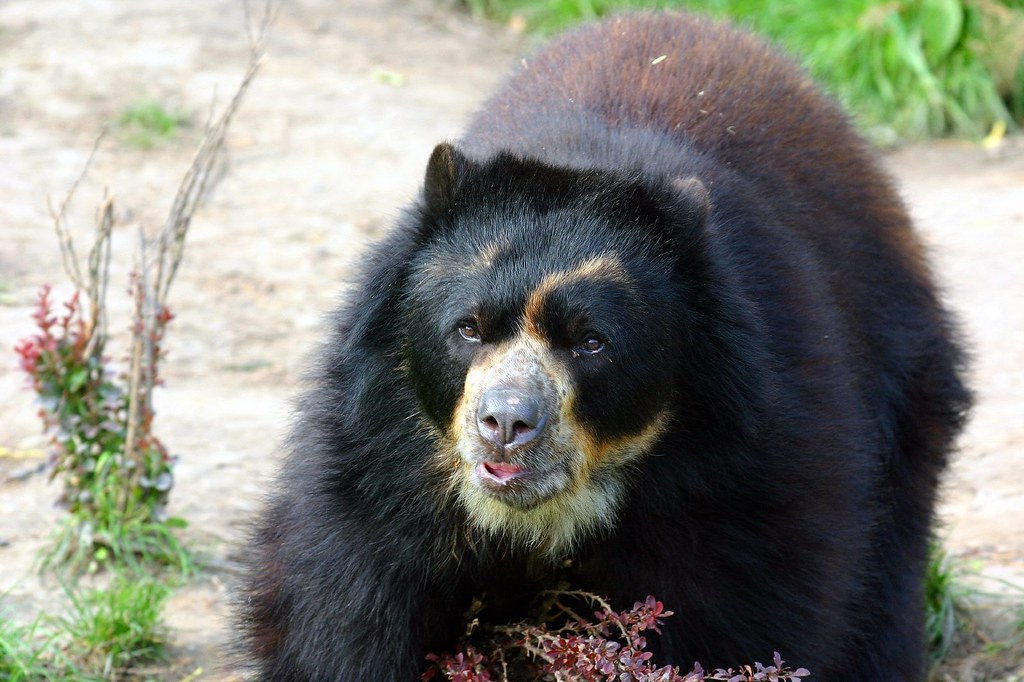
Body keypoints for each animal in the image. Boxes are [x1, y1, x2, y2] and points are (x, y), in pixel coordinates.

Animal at [237, 11, 966, 679]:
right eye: (467, 328)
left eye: (591, 342)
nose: (506, 423)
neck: (540, 521)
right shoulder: (373, 483)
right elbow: (347, 615)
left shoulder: (746, 486)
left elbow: (743, 619)